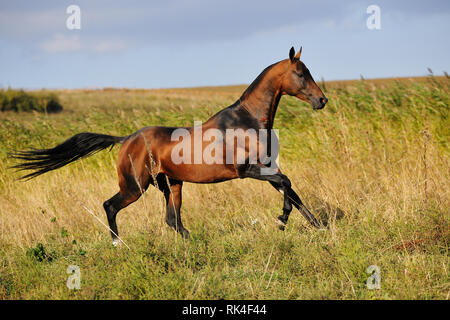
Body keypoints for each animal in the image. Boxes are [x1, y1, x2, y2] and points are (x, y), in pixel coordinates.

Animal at [9, 46, 326, 245]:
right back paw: (118, 244)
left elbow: (291, 190)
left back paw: (192, 241)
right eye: (301, 73)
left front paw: (317, 225)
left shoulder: (267, 168)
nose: (321, 100)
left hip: (171, 184)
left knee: (172, 220)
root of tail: (127, 140)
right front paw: (281, 220)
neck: (246, 121)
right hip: (135, 187)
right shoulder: (247, 170)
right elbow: (287, 184)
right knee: (110, 206)